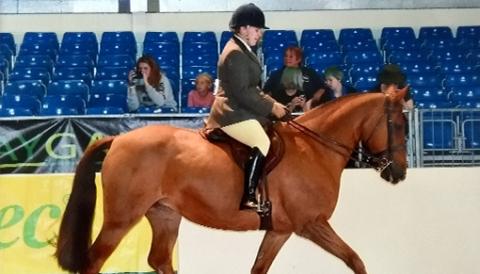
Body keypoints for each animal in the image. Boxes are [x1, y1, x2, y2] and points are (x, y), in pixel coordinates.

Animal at [55, 86, 408, 272]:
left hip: (165, 214)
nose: (400, 172)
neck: (314, 148)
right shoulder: (312, 223)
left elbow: (258, 268)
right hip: (121, 218)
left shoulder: (280, 230)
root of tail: (118, 138)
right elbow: (355, 259)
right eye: (397, 125)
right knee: (94, 261)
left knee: (160, 259)